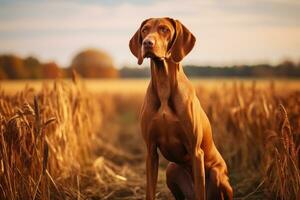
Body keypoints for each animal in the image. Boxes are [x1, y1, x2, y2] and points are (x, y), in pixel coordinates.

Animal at [128, 17, 232, 200]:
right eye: (145, 30)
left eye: (164, 29)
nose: (147, 43)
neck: (163, 85)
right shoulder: (151, 151)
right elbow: (150, 191)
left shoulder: (196, 151)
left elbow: (200, 191)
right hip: (171, 169)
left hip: (217, 174)